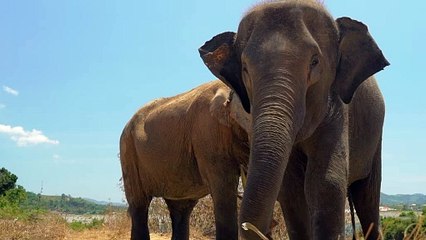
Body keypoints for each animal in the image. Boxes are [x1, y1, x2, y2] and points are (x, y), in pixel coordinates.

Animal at [200, 0, 390, 239]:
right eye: (244, 68)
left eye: (315, 62)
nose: (251, 227)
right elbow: (290, 190)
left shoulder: (337, 106)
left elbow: (326, 182)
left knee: (367, 197)